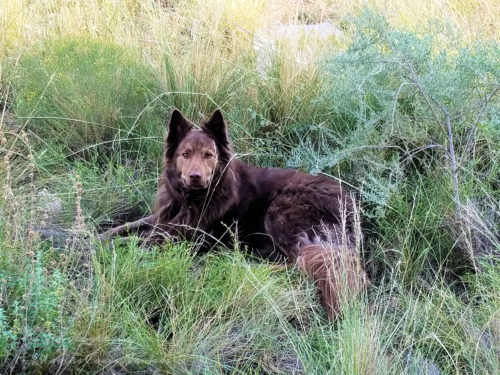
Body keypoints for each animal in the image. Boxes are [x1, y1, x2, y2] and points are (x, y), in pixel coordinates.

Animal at [101, 109, 368, 320]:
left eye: (208, 155)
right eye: (185, 154)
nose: (195, 177)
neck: (192, 199)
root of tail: (351, 204)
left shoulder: (178, 236)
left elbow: (133, 240)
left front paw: (99, 248)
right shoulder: (163, 219)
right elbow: (125, 227)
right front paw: (96, 235)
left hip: (280, 210)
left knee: (298, 263)